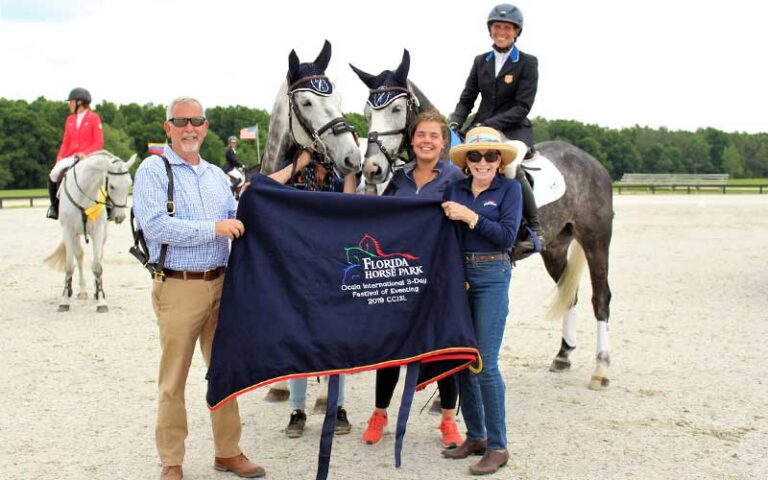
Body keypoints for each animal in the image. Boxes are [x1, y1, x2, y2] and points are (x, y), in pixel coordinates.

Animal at [44, 151, 136, 316]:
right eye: (111, 186)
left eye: (129, 184)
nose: (120, 217)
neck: (84, 193)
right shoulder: (68, 231)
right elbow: (69, 265)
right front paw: (64, 301)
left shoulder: (98, 231)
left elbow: (97, 266)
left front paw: (101, 301)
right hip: (74, 235)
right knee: (79, 256)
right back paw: (80, 290)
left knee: (97, 257)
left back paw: (95, 292)